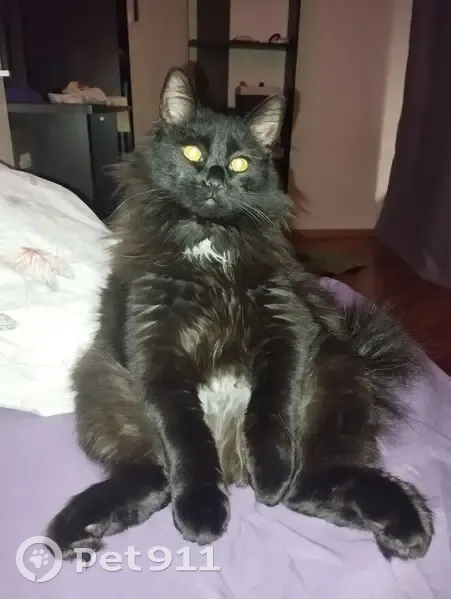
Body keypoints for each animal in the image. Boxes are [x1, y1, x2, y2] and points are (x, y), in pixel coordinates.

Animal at [46, 67, 433, 562]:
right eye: (192, 152)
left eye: (241, 164)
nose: (214, 179)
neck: (211, 247)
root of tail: (233, 467)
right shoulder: (156, 348)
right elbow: (186, 437)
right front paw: (202, 512)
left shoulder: (285, 325)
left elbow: (270, 407)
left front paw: (269, 471)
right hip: (103, 387)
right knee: (157, 478)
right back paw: (75, 531)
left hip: (335, 378)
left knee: (307, 486)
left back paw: (403, 527)